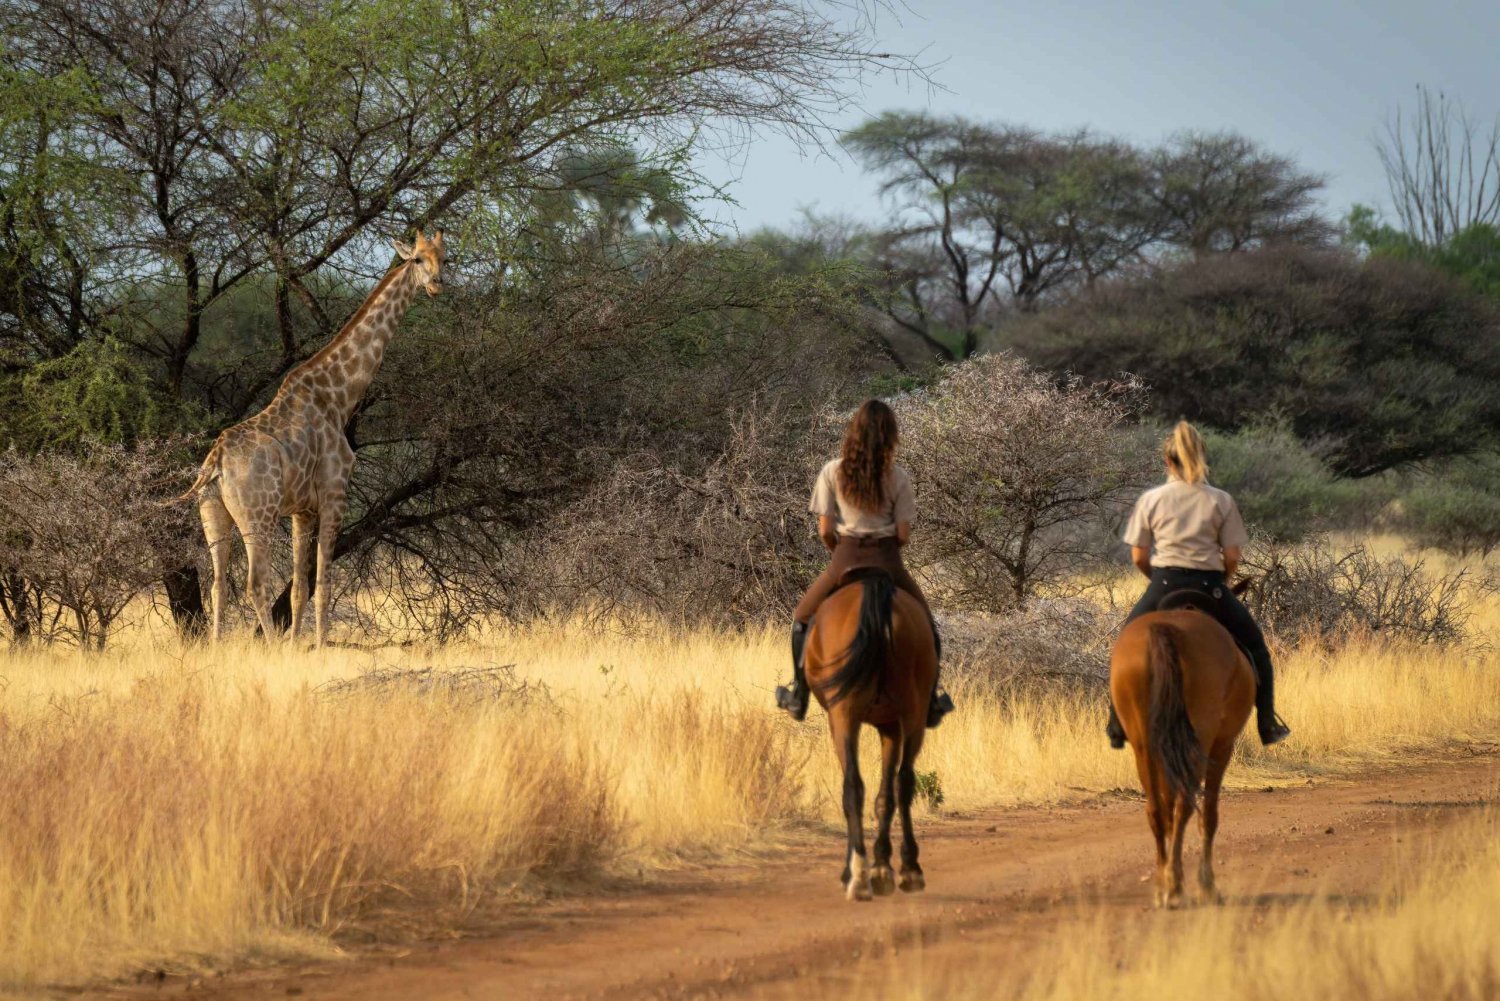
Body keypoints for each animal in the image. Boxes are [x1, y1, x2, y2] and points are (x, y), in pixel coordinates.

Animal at [174, 229, 441, 645]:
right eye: (417, 259)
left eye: (443, 257)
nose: (436, 284)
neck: (338, 397)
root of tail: (215, 461)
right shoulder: (334, 494)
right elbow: (324, 584)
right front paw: (316, 647)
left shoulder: (302, 509)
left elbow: (300, 588)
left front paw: (297, 647)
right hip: (260, 513)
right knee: (255, 583)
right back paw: (266, 647)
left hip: (213, 512)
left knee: (217, 584)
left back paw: (218, 648)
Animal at [810, 567, 936, 906]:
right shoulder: (890, 725)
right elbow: (885, 797)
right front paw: (881, 868)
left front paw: (872, 868)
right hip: (911, 714)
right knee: (900, 782)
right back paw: (905, 871)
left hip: (845, 715)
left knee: (856, 786)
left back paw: (861, 875)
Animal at [1116, 591, 1254, 912]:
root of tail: (1165, 629)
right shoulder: (1221, 747)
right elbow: (1210, 815)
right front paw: (1208, 886)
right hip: (1199, 742)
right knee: (1186, 806)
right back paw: (1177, 887)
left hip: (1144, 744)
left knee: (1158, 809)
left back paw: (1164, 886)